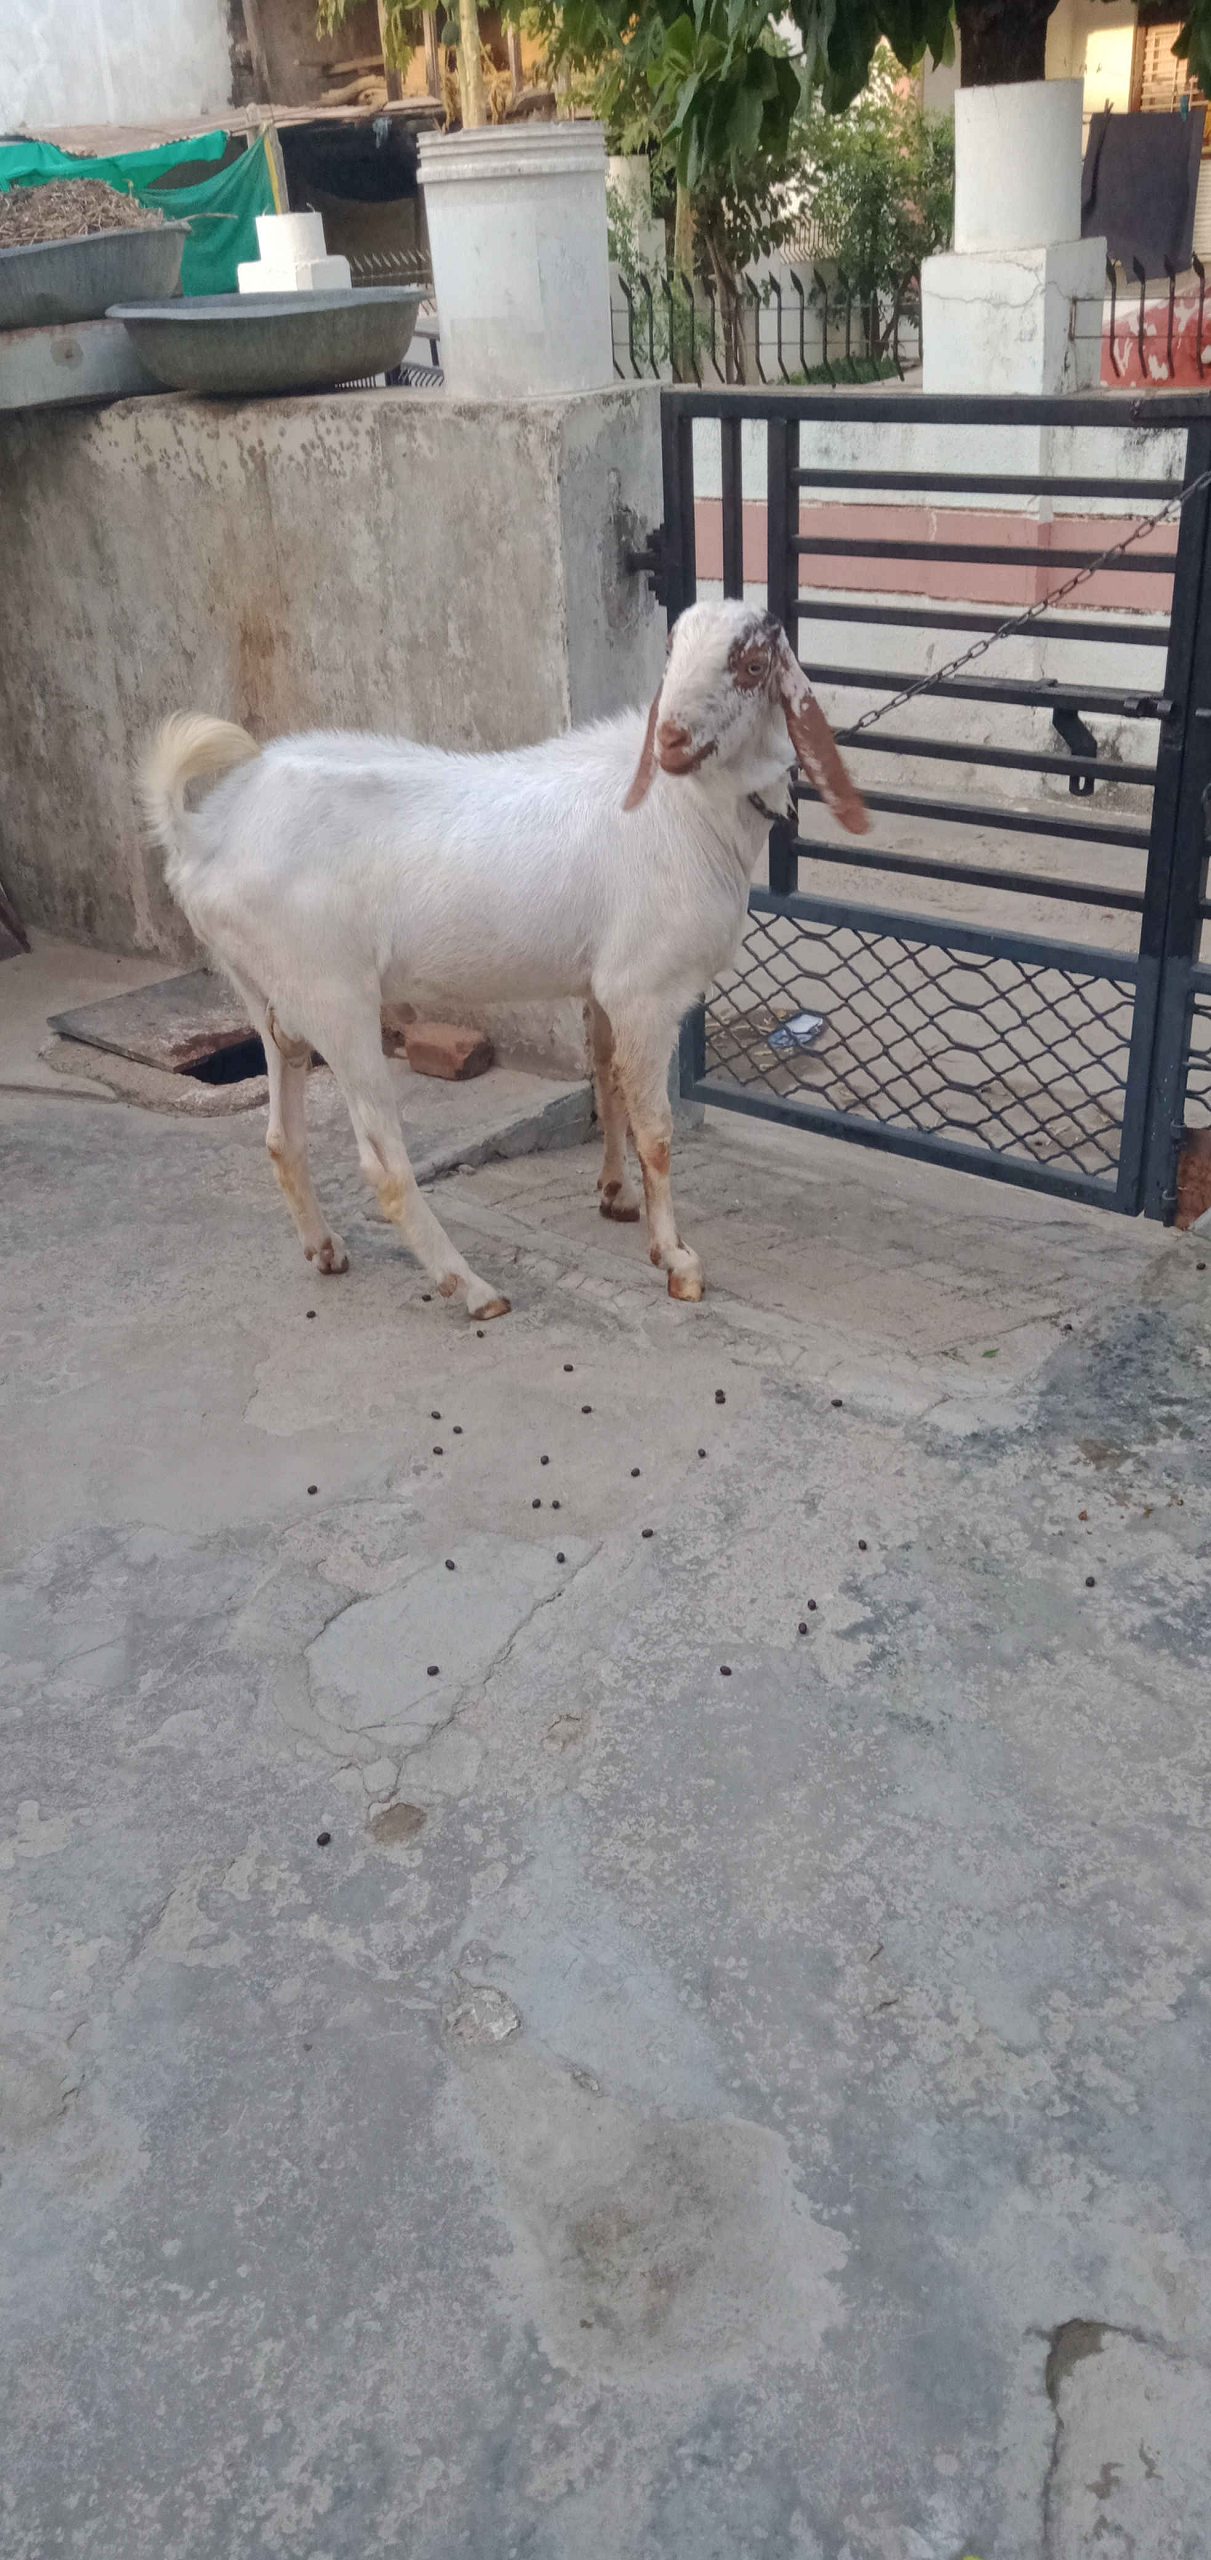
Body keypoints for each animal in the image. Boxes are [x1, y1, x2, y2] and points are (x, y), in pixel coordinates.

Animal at [141, 600, 868, 1317]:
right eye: (672, 653)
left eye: (752, 665)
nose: (670, 742)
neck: (685, 809)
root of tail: (206, 836)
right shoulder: (645, 991)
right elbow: (656, 1129)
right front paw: (676, 1260)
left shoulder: (600, 986)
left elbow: (607, 1085)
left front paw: (616, 1196)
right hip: (334, 997)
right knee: (383, 1165)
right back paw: (471, 1288)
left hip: (270, 997)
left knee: (280, 1134)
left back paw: (324, 1249)